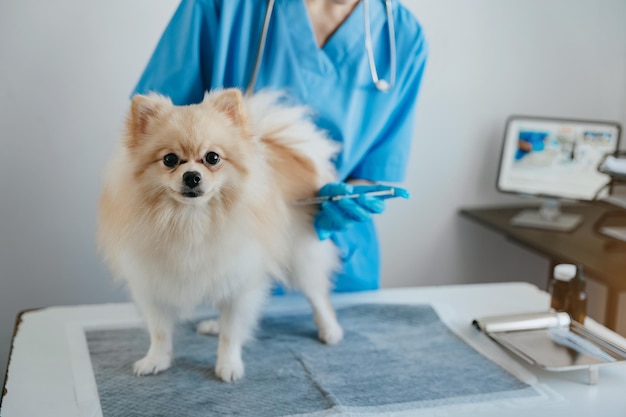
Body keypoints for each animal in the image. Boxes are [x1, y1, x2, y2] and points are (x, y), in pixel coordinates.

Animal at [97, 88, 342, 380]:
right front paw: (156, 360)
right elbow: (159, 331)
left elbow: (232, 332)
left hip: (299, 257)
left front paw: (228, 365)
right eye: (170, 159)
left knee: (317, 295)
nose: (191, 176)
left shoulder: (241, 279)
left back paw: (330, 329)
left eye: (212, 157)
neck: (190, 220)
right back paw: (214, 324)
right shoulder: (152, 284)